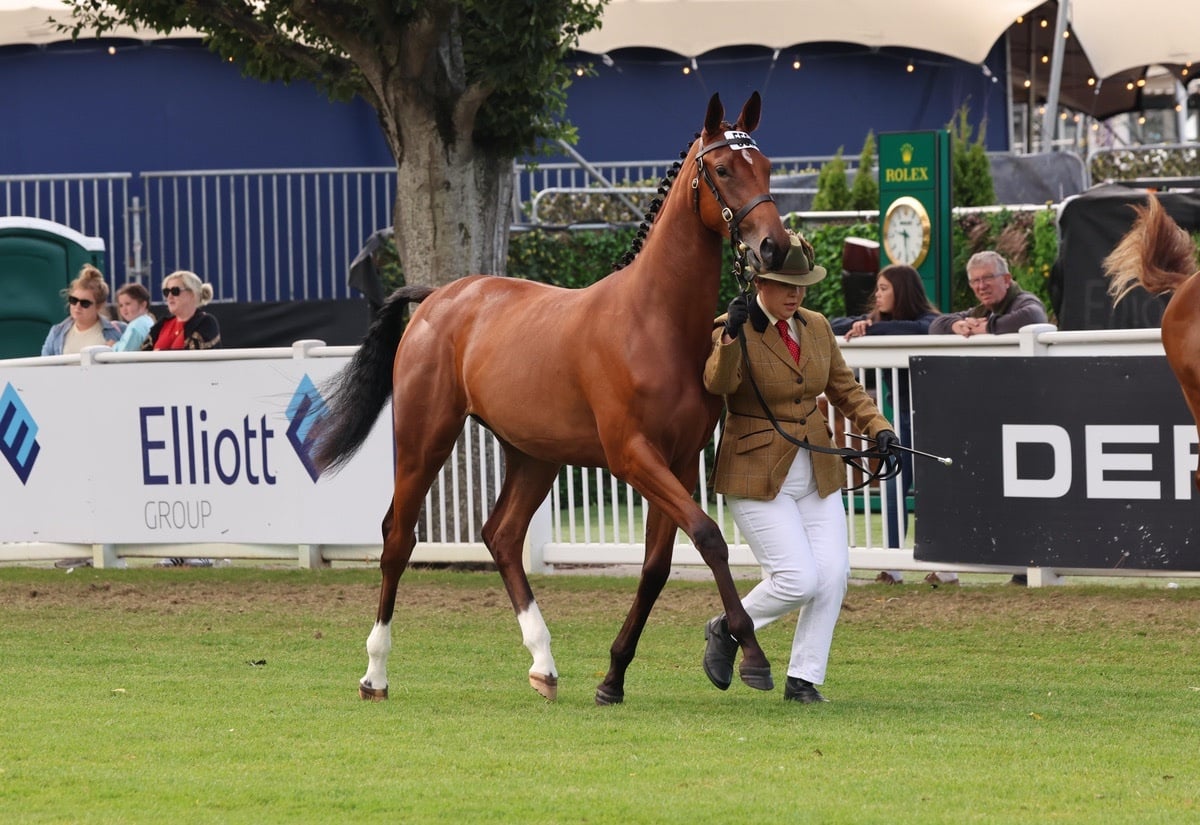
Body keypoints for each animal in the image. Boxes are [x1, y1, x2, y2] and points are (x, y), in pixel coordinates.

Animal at [311, 92, 791, 705]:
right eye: (725, 169)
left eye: (768, 166)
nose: (774, 246)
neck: (654, 321)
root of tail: (438, 298)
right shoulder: (633, 457)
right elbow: (709, 537)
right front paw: (751, 657)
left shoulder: (681, 462)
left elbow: (657, 567)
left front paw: (613, 676)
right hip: (424, 439)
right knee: (399, 536)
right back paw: (375, 674)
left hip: (534, 455)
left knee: (502, 536)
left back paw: (543, 663)